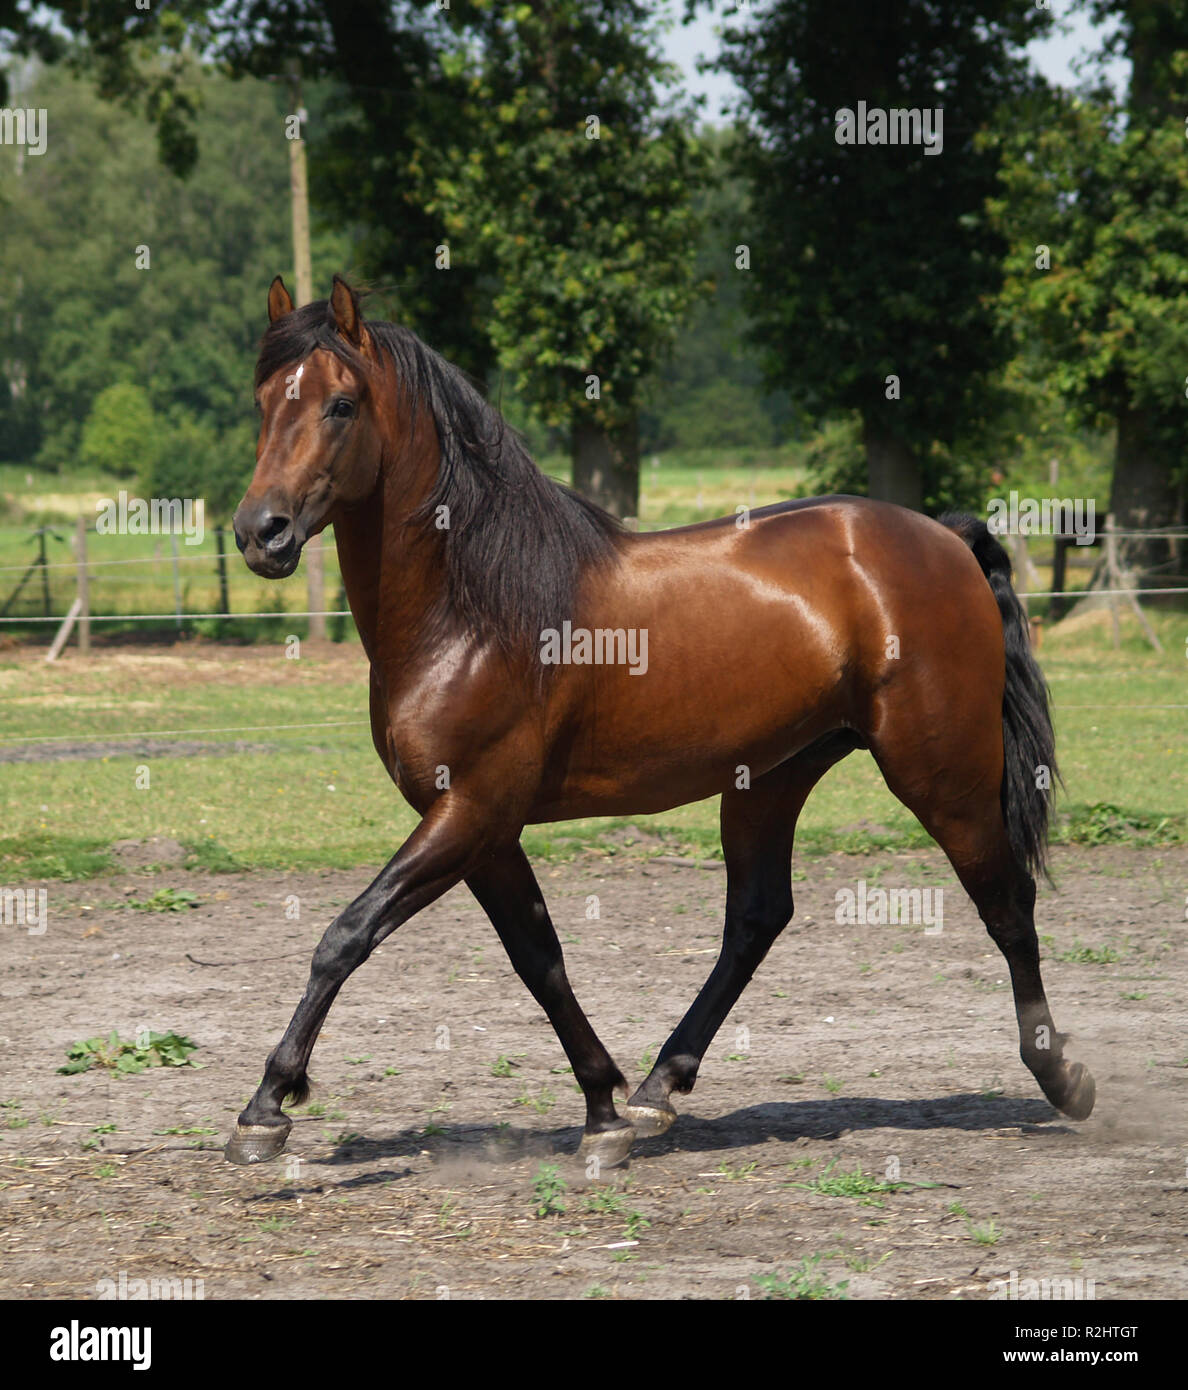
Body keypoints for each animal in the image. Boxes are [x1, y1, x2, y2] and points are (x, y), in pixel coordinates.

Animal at [222, 276, 1094, 1167]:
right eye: (262, 399)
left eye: (340, 404)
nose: (261, 533)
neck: (472, 611)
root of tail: (943, 540)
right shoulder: (483, 829)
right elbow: (540, 960)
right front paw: (603, 1109)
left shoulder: (470, 812)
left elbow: (347, 934)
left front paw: (266, 1108)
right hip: (772, 778)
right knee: (757, 919)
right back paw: (656, 1089)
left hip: (941, 774)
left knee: (1005, 901)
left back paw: (1063, 1079)